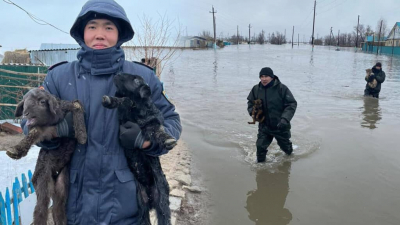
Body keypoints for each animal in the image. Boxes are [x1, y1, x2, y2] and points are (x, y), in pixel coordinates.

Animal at [102, 73, 176, 224]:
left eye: (136, 80)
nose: (117, 74)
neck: (137, 108)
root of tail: (151, 200)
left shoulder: (151, 122)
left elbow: (158, 130)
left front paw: (168, 139)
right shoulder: (123, 115)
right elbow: (123, 100)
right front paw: (109, 100)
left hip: (162, 201)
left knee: (164, 217)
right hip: (141, 205)